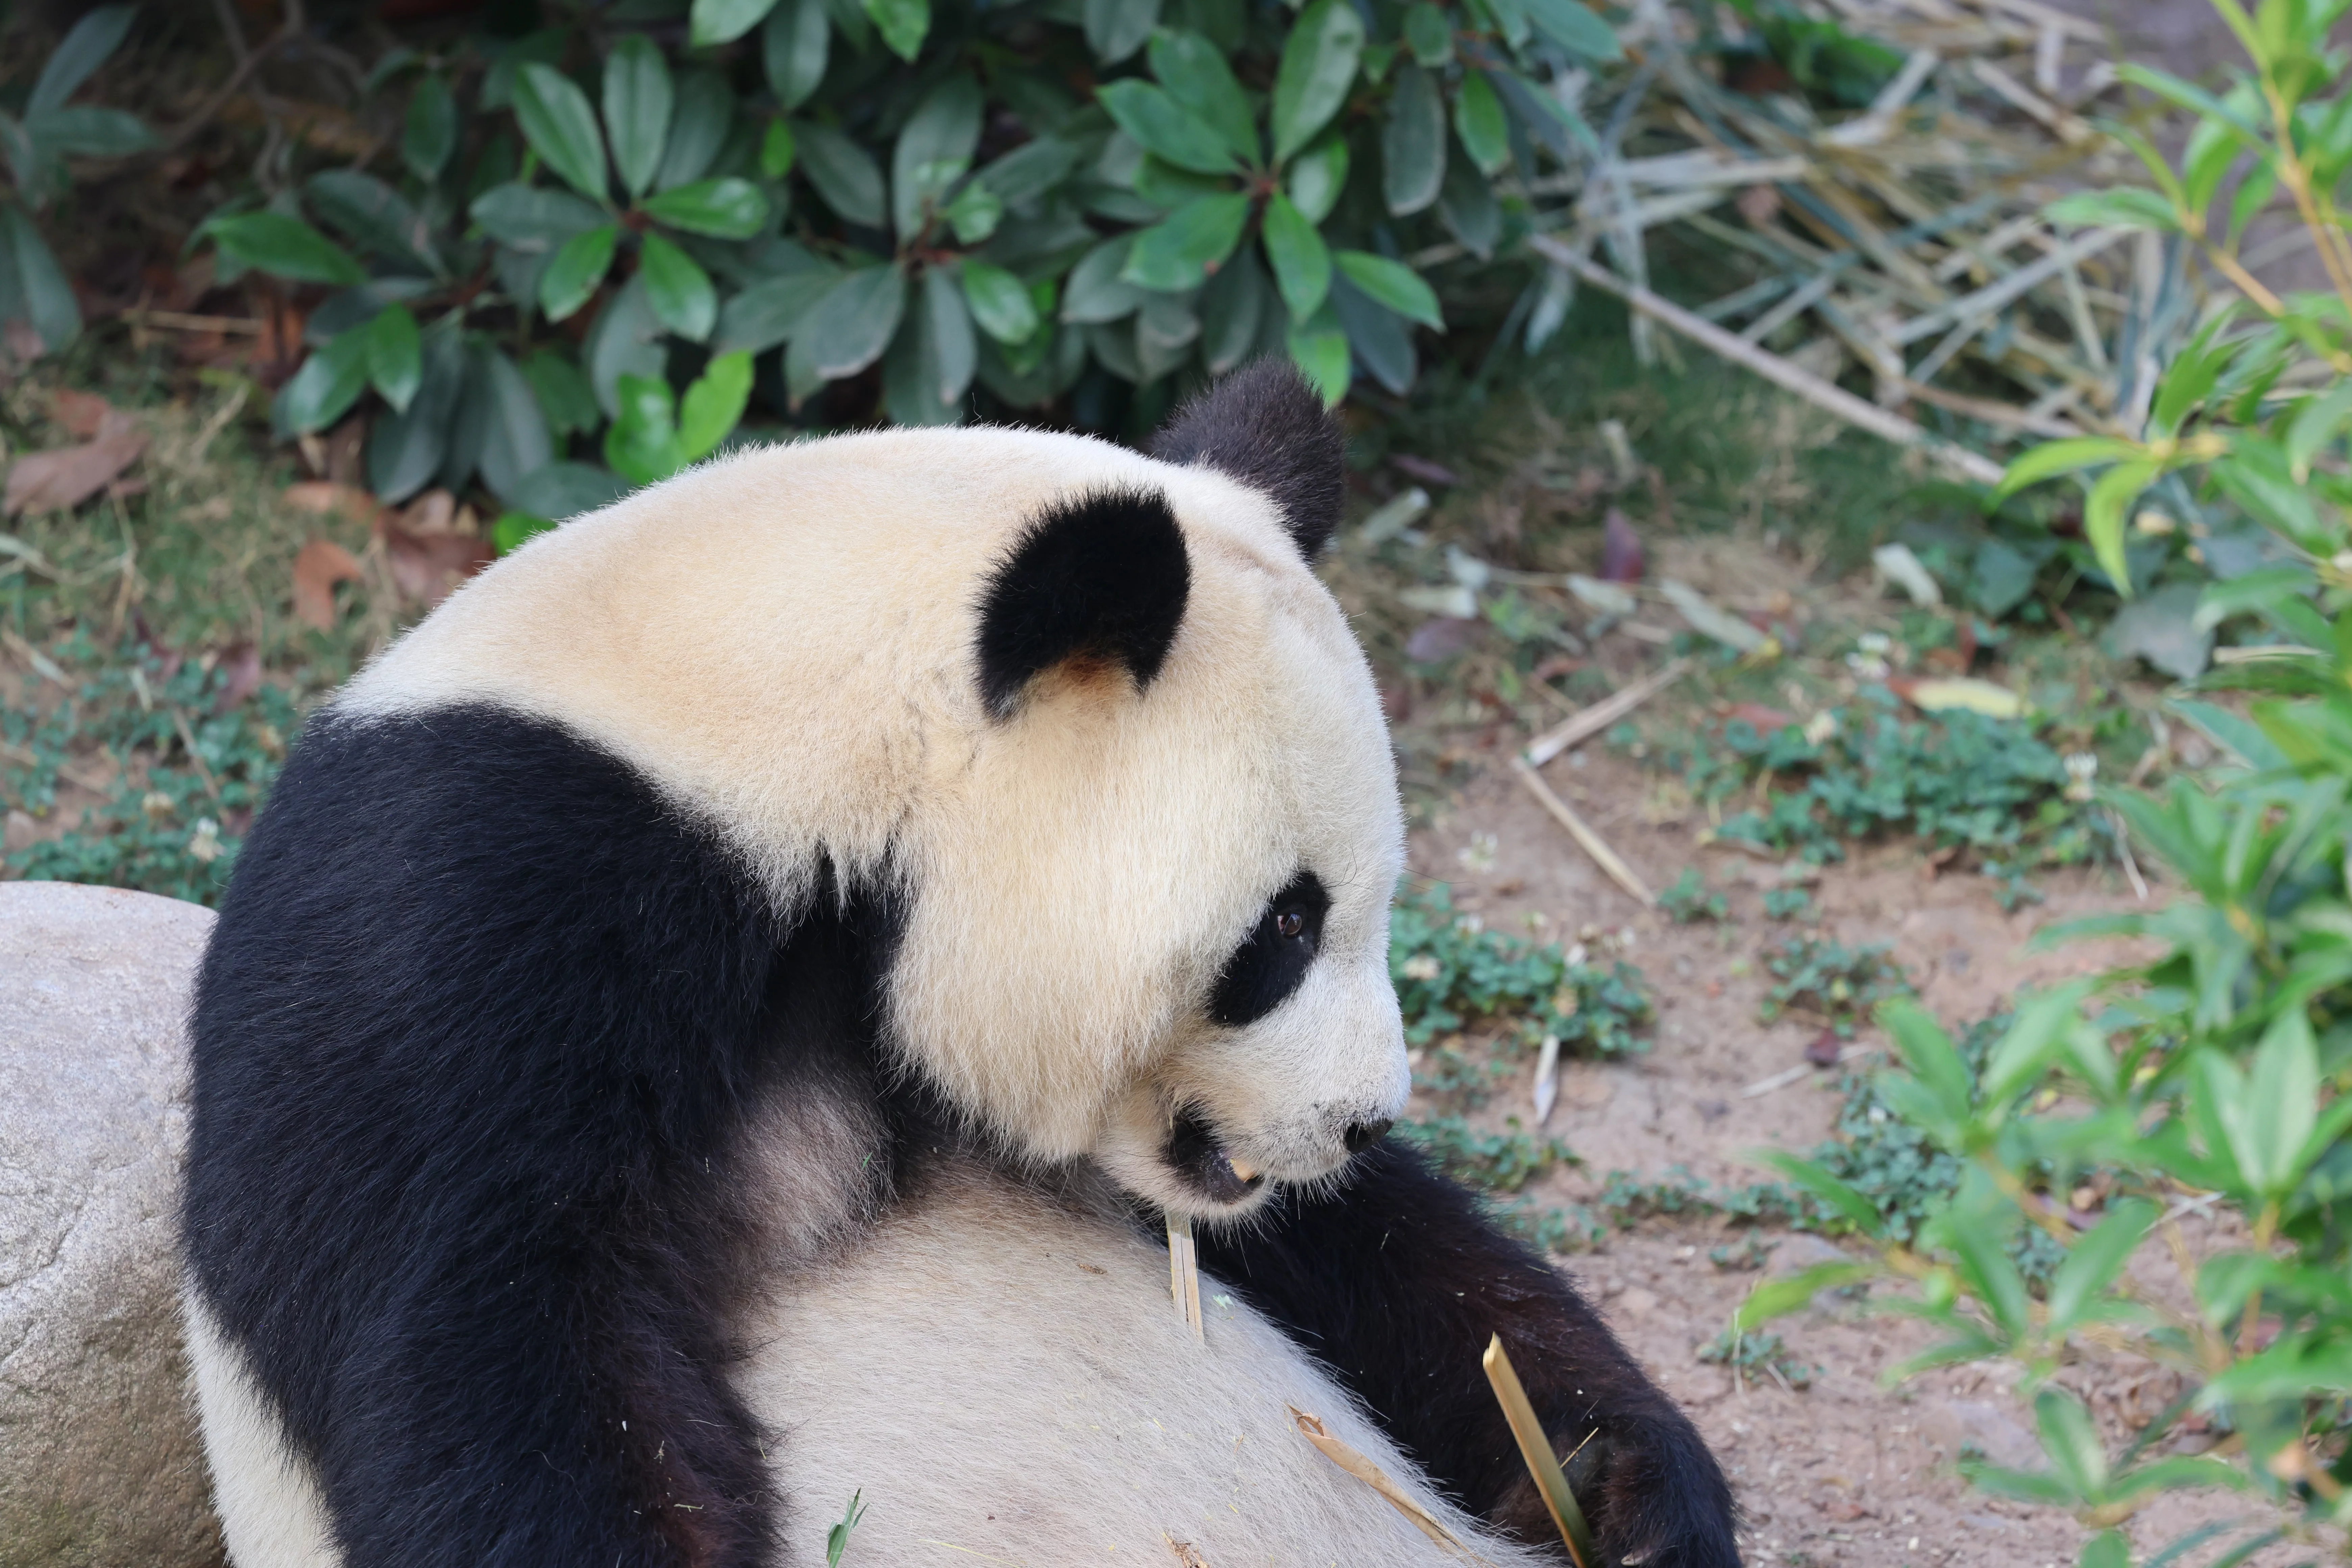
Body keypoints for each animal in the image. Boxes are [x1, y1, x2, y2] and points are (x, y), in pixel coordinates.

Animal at [181, 362, 1740, 1568]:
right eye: (1284, 929)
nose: (1361, 1116)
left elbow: (1380, 1258)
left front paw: (1626, 1483)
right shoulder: (483, 921)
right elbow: (484, 1354)